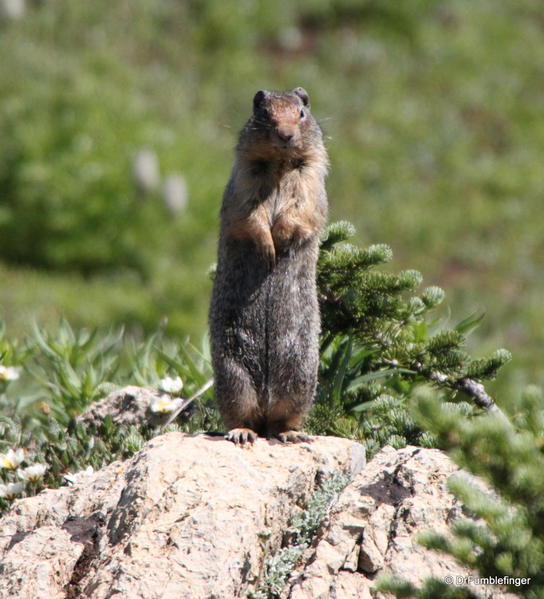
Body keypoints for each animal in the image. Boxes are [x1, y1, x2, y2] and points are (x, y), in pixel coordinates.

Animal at [208, 88, 328, 446]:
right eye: (263, 112)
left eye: (302, 112)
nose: (286, 135)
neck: (279, 165)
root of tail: (265, 398)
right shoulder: (243, 181)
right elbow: (248, 214)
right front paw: (267, 246)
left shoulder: (311, 180)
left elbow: (302, 210)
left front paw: (281, 238)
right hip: (232, 375)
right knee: (242, 413)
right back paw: (242, 432)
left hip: (301, 375)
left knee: (281, 420)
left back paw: (289, 433)